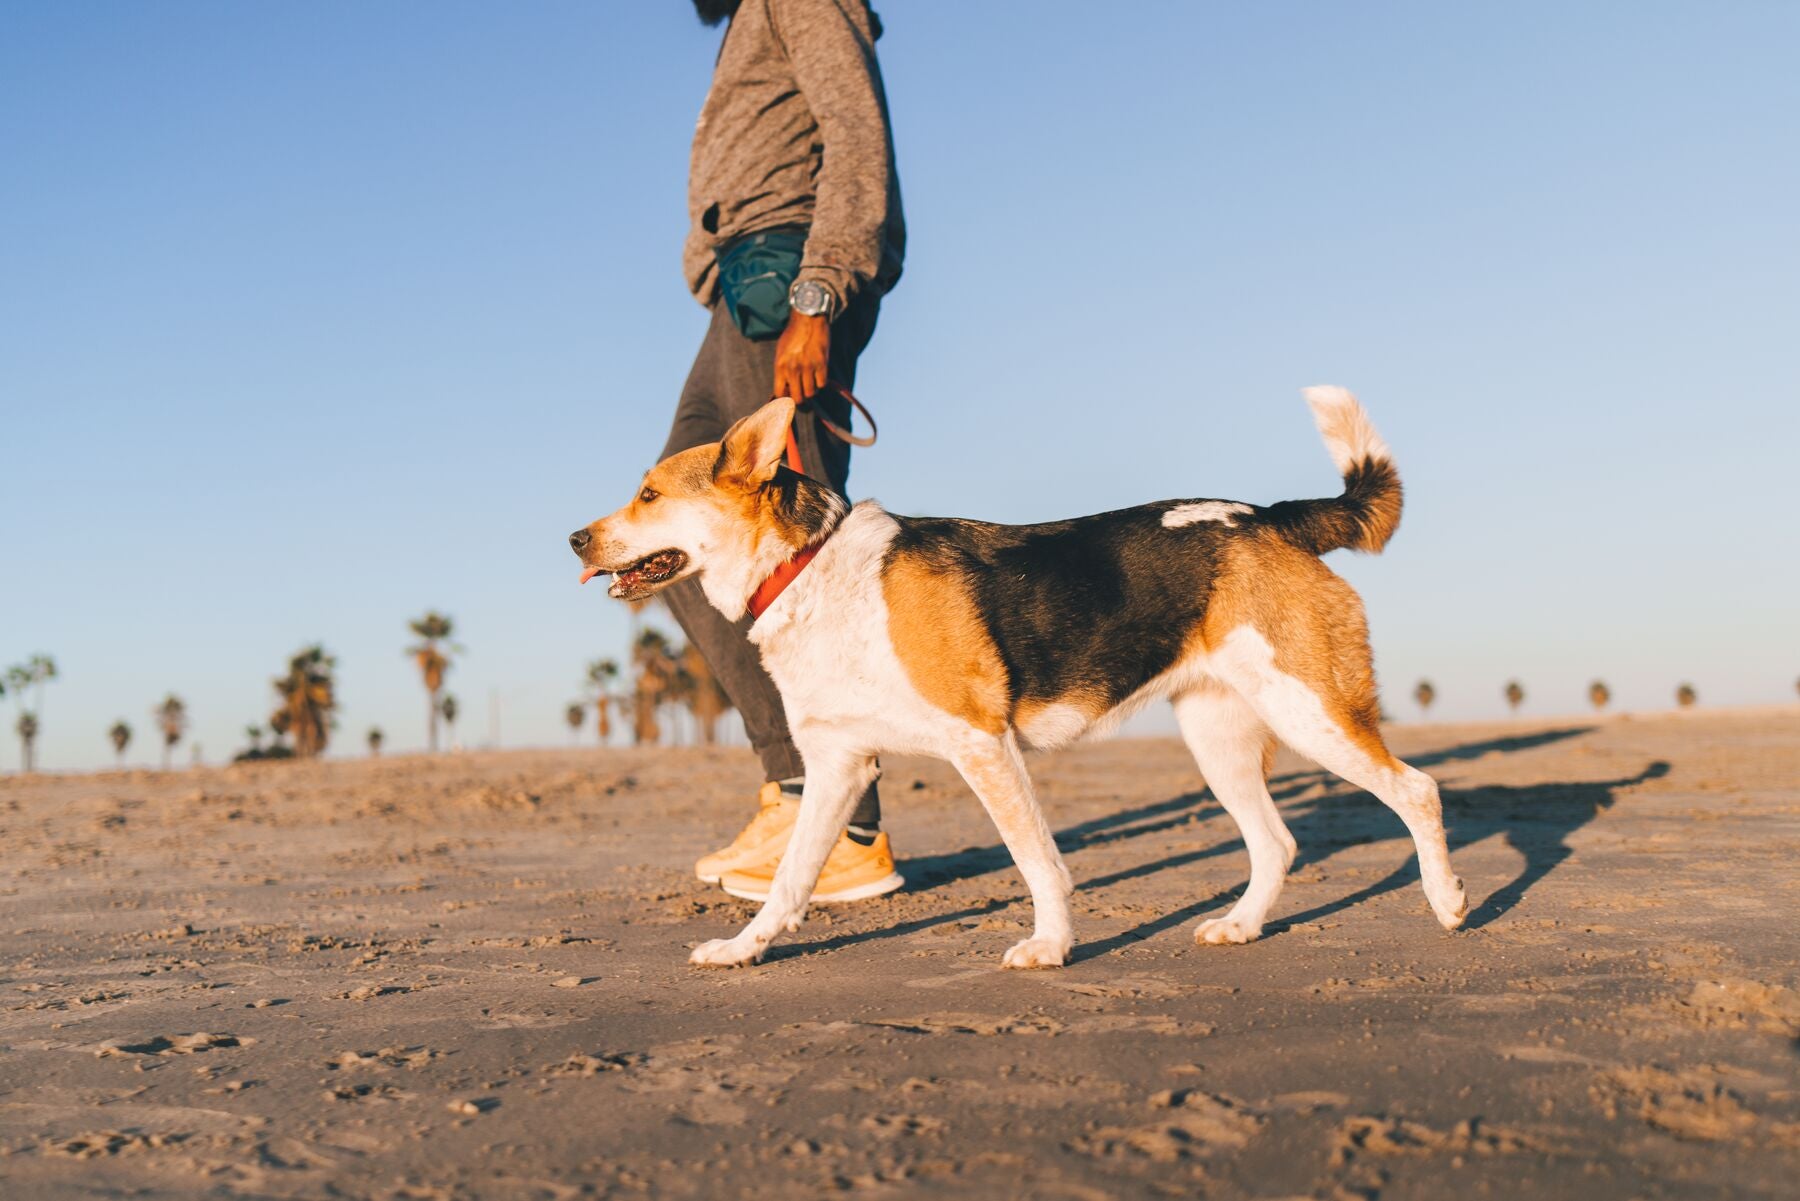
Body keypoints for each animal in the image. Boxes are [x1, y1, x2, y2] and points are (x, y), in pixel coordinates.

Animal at [569, 387, 1466, 969]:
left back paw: (1449, 900)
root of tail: (1273, 517)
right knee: (1276, 843)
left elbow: (1038, 860)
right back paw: (1241, 927)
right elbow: (789, 880)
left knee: (1416, 790)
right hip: (1219, 737)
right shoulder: (836, 767)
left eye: (648, 494)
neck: (809, 567)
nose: (575, 538)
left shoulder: (982, 746)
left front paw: (1051, 945)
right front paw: (743, 949)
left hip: (1310, 707)